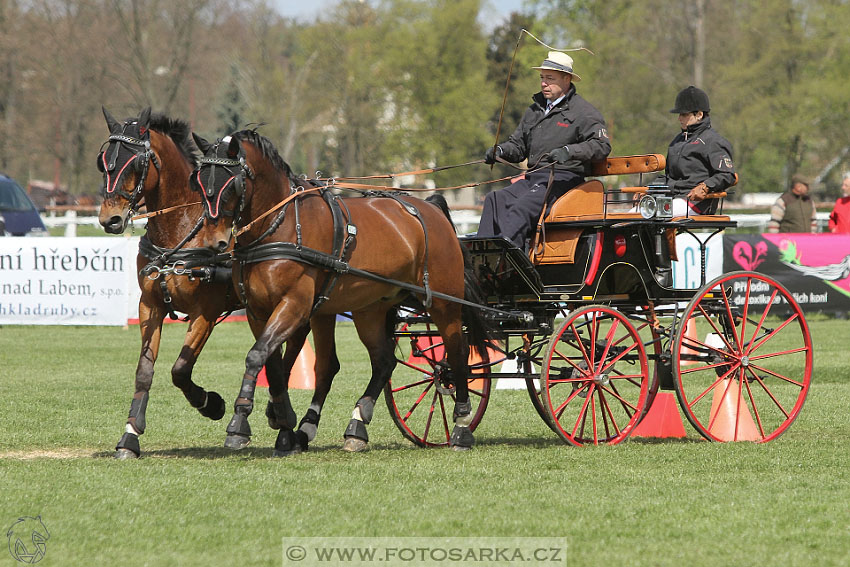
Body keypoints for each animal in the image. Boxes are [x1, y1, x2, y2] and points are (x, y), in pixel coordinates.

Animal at [95, 108, 294, 460]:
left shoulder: (206, 313)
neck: (181, 231)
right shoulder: (150, 305)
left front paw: (211, 404)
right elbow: (144, 371)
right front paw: (130, 436)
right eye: (103, 162)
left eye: (136, 163)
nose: (110, 219)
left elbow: (180, 369)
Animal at [189, 131, 486, 454]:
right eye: (199, 181)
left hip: (444, 303)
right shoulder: (259, 312)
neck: (281, 225)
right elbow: (273, 365)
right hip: (370, 308)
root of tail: (431, 208)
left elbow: (257, 356)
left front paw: (240, 421)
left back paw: (461, 426)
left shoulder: (294, 305)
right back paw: (356, 425)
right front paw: (284, 424)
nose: (214, 241)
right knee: (383, 361)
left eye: (231, 183)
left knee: (456, 355)